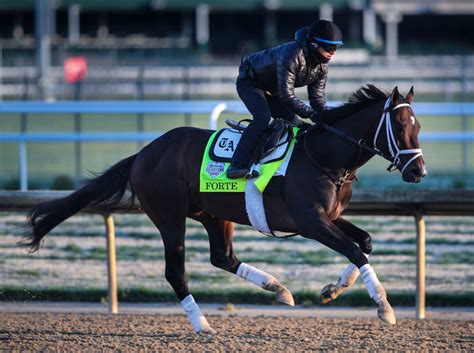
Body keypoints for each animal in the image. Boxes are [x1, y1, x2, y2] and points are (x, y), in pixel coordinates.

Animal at [24, 84, 428, 332]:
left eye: (419, 125)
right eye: (399, 125)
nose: (418, 171)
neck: (324, 156)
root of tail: (143, 153)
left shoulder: (329, 217)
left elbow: (365, 244)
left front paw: (332, 290)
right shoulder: (311, 221)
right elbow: (355, 250)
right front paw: (385, 307)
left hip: (212, 214)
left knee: (223, 257)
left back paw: (279, 289)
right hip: (169, 216)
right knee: (176, 272)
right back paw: (202, 325)